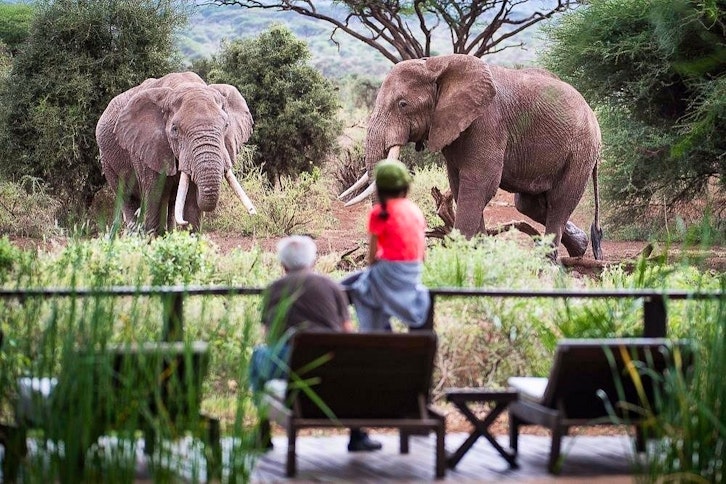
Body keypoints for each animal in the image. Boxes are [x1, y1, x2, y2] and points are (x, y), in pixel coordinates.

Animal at [96, 71, 256, 235]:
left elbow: (192, 205)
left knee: (172, 205)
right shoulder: (147, 149)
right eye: (174, 129)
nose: (253, 212)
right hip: (107, 161)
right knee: (127, 198)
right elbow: (155, 199)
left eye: (226, 125)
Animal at [340, 54, 603, 260]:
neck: (435, 65)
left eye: (402, 104)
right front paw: (479, 256)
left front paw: (461, 261)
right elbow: (460, 187)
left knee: (559, 203)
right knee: (530, 204)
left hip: (581, 151)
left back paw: (547, 265)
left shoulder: (487, 123)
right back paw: (580, 247)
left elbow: (478, 185)